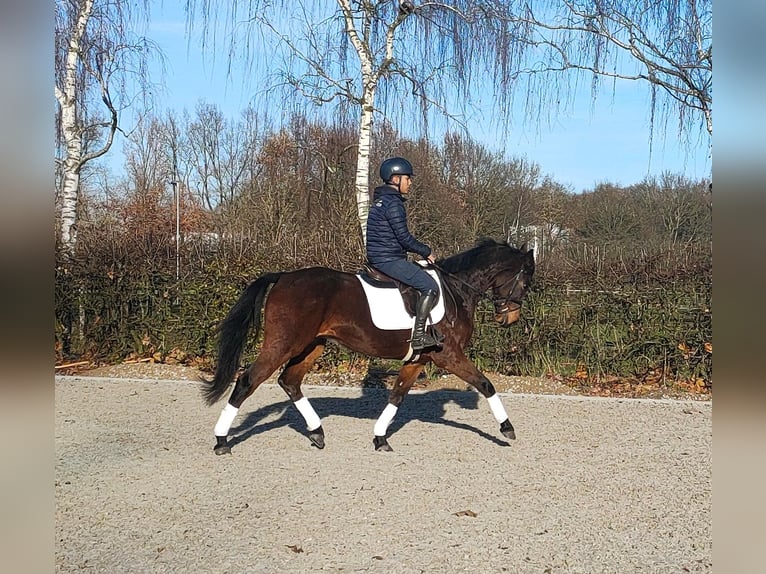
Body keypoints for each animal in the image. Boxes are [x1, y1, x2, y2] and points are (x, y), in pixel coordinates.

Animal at [204, 238, 540, 454]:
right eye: (526, 280)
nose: (509, 318)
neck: (456, 290)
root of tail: (284, 276)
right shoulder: (449, 356)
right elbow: (486, 384)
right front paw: (506, 428)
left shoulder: (419, 359)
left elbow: (398, 395)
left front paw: (380, 438)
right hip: (284, 343)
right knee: (248, 381)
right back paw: (221, 441)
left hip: (312, 345)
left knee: (290, 381)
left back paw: (317, 432)